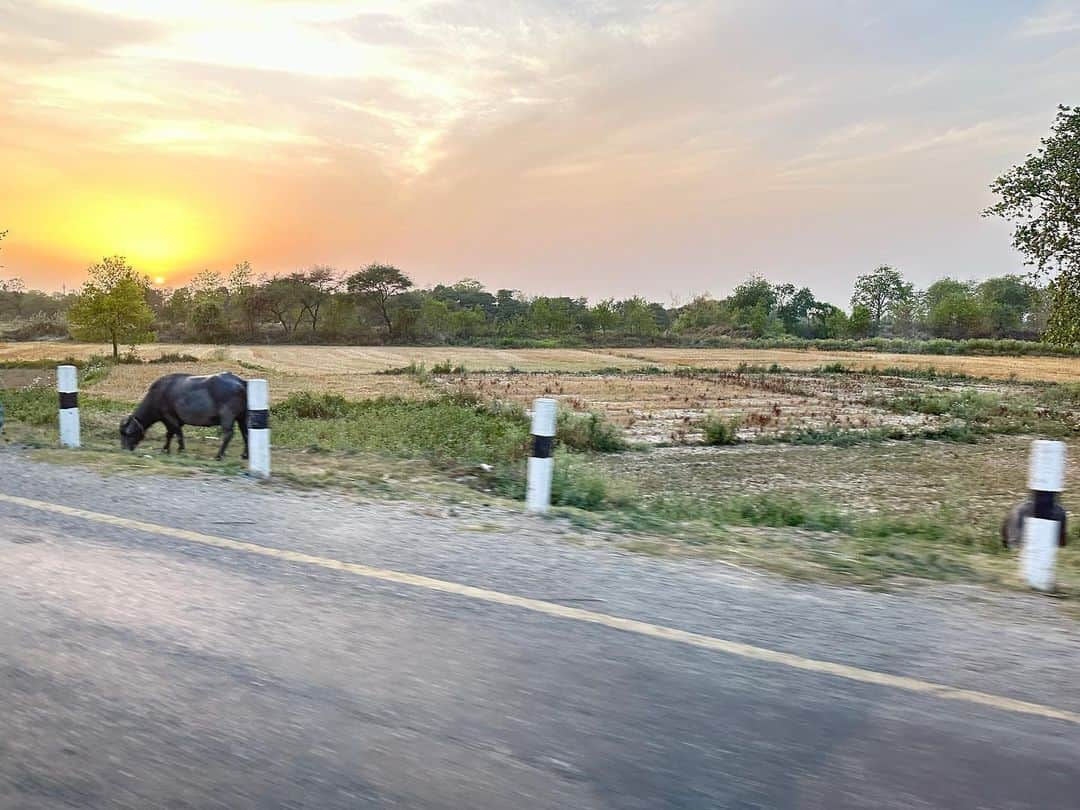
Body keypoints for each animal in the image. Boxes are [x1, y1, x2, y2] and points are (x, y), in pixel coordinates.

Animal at [121, 373, 249, 460]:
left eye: (127, 433)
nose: (124, 449)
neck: (157, 396)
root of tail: (241, 382)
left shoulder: (170, 418)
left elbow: (177, 434)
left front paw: (179, 450)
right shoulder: (172, 421)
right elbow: (170, 434)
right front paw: (166, 449)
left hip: (227, 416)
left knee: (228, 434)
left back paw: (218, 455)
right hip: (242, 417)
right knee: (245, 433)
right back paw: (245, 455)